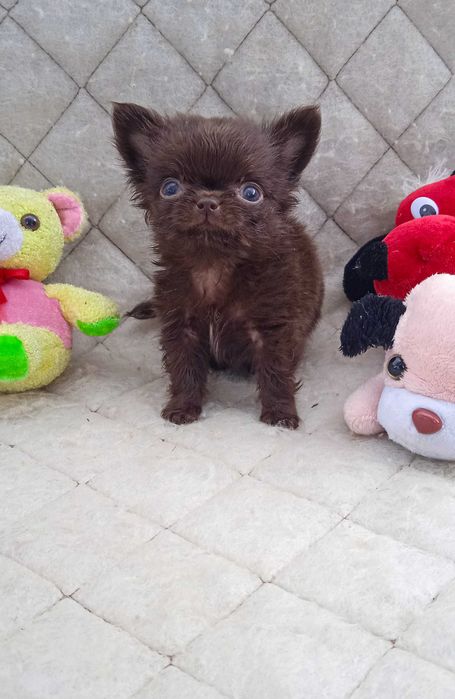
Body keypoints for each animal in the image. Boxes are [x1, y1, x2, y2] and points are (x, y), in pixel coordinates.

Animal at [112, 103, 324, 428]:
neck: (213, 265)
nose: (207, 200)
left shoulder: (272, 330)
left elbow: (276, 373)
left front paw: (280, 414)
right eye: (170, 188)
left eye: (251, 193)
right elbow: (184, 369)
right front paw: (183, 407)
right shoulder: (181, 326)